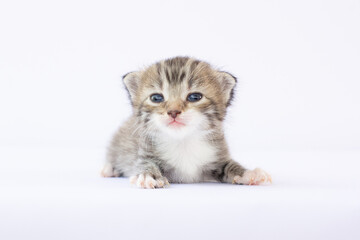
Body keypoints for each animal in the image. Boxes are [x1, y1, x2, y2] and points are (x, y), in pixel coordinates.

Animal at [100, 57, 270, 188]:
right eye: (156, 98)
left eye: (194, 97)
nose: (173, 112)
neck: (182, 141)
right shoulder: (145, 150)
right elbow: (145, 163)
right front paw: (149, 175)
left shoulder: (217, 154)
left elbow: (229, 165)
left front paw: (248, 173)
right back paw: (109, 169)